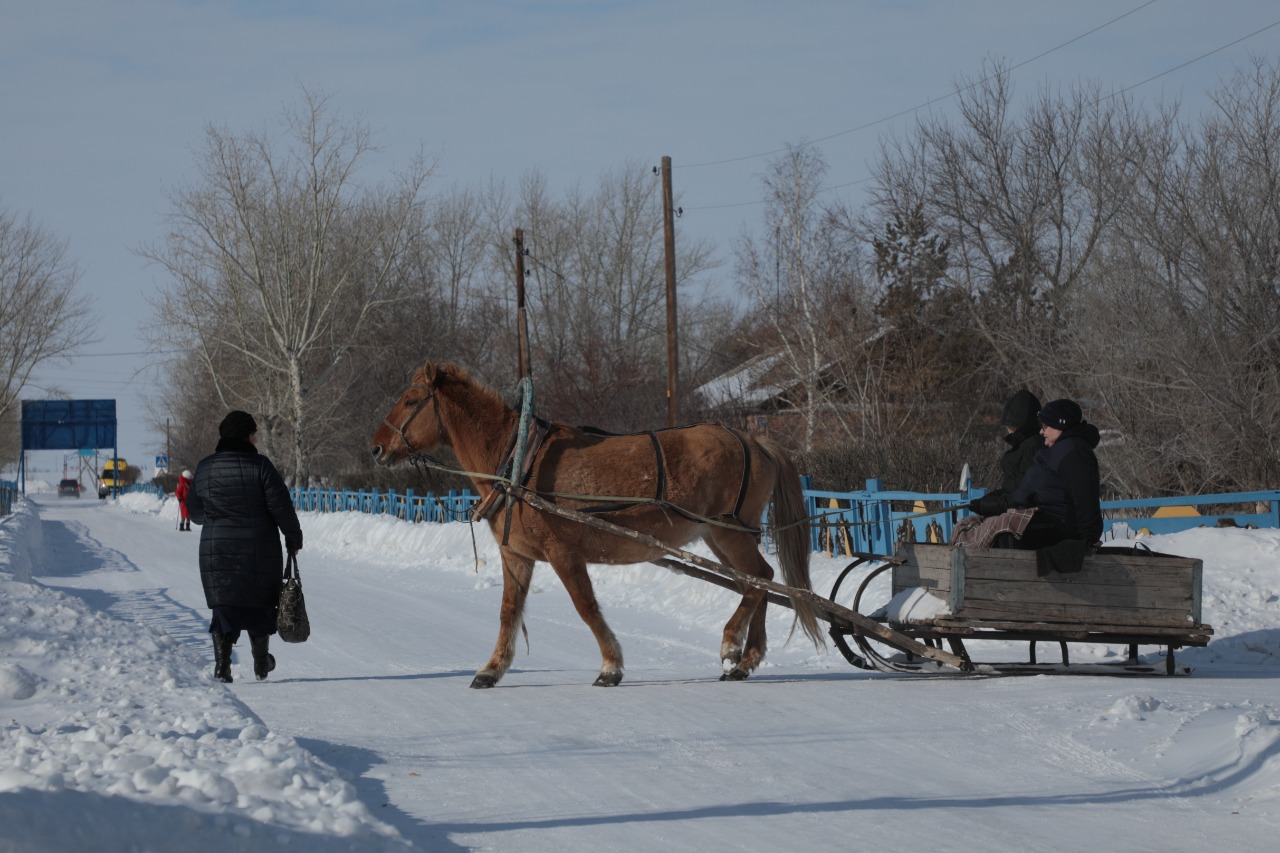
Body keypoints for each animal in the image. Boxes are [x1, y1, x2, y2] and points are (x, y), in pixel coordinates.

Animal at [368, 358, 819, 686]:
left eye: (410, 400)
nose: (376, 449)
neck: (517, 460)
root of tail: (754, 439)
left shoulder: (564, 553)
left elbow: (585, 606)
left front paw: (610, 666)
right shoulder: (516, 556)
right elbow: (508, 611)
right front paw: (491, 669)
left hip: (729, 532)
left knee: (759, 581)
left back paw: (732, 647)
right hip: (721, 538)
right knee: (758, 583)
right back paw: (745, 660)